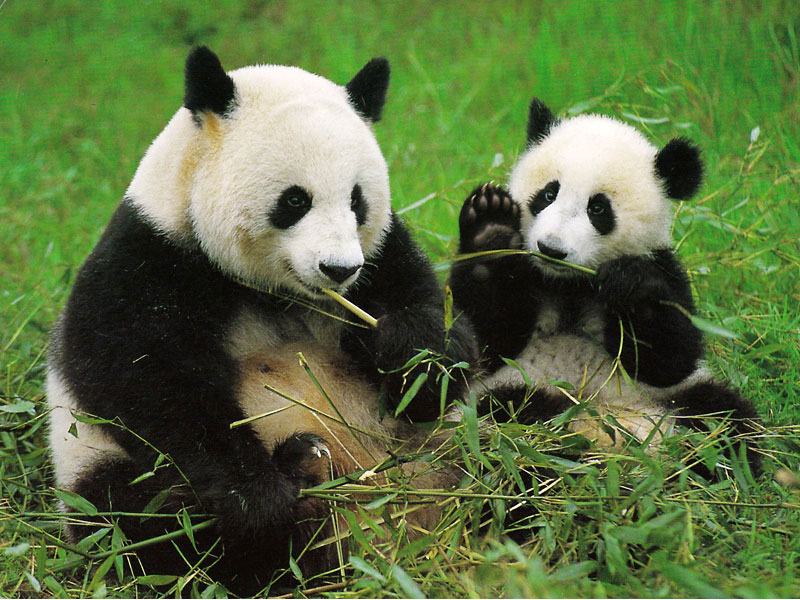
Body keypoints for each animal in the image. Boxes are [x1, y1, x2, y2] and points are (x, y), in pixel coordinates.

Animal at [47, 47, 476, 592]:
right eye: (295, 200)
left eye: (357, 201)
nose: (339, 269)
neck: (273, 291)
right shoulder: (150, 259)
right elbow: (146, 382)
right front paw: (259, 498)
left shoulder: (384, 255)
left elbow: (439, 358)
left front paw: (407, 347)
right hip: (92, 466)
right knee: (147, 526)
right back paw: (300, 482)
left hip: (453, 447)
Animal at [449, 98, 759, 466]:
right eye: (548, 194)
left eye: (598, 208)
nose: (551, 249)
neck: (568, 284)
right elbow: (484, 339)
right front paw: (491, 228)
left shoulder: (664, 267)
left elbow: (671, 358)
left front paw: (630, 283)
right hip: (514, 388)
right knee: (504, 417)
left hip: (676, 399)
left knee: (726, 421)